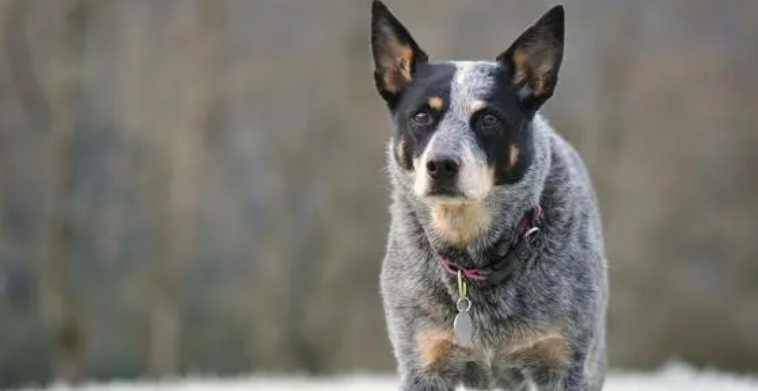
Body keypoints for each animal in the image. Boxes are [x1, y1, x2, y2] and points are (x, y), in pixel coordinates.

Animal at [372, 1, 616, 390]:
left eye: (488, 119)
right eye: (422, 115)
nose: (442, 165)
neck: (475, 262)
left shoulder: (562, 363)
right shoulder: (424, 361)